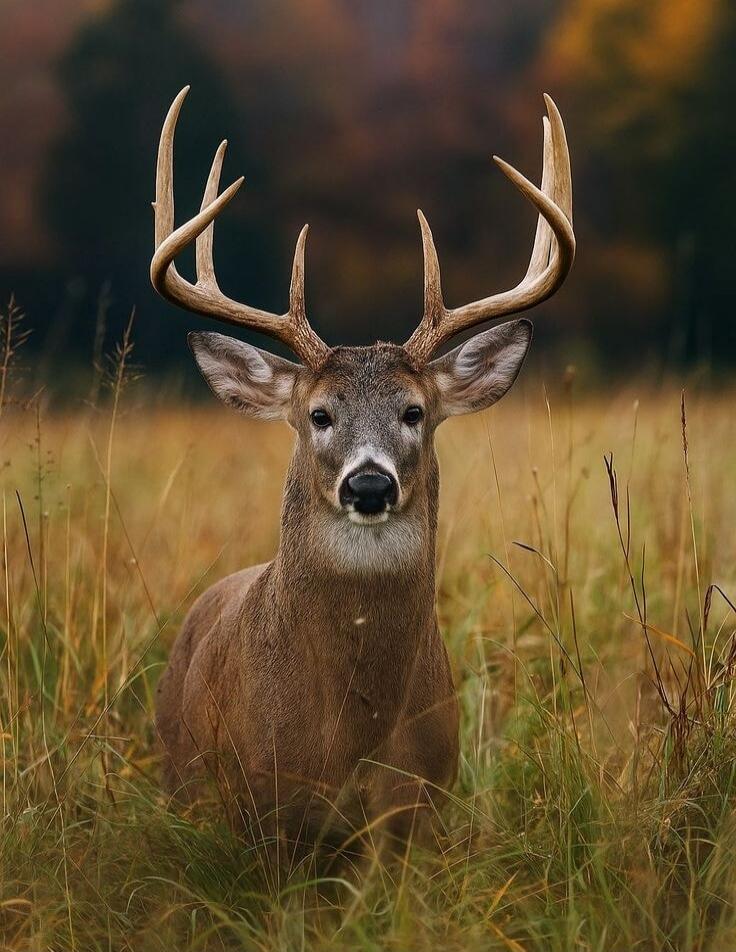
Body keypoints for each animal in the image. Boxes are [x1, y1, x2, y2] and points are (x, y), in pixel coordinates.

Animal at [151, 86, 574, 862]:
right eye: (319, 414)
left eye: (414, 411)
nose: (369, 485)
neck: (350, 734)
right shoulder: (265, 807)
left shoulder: (420, 807)